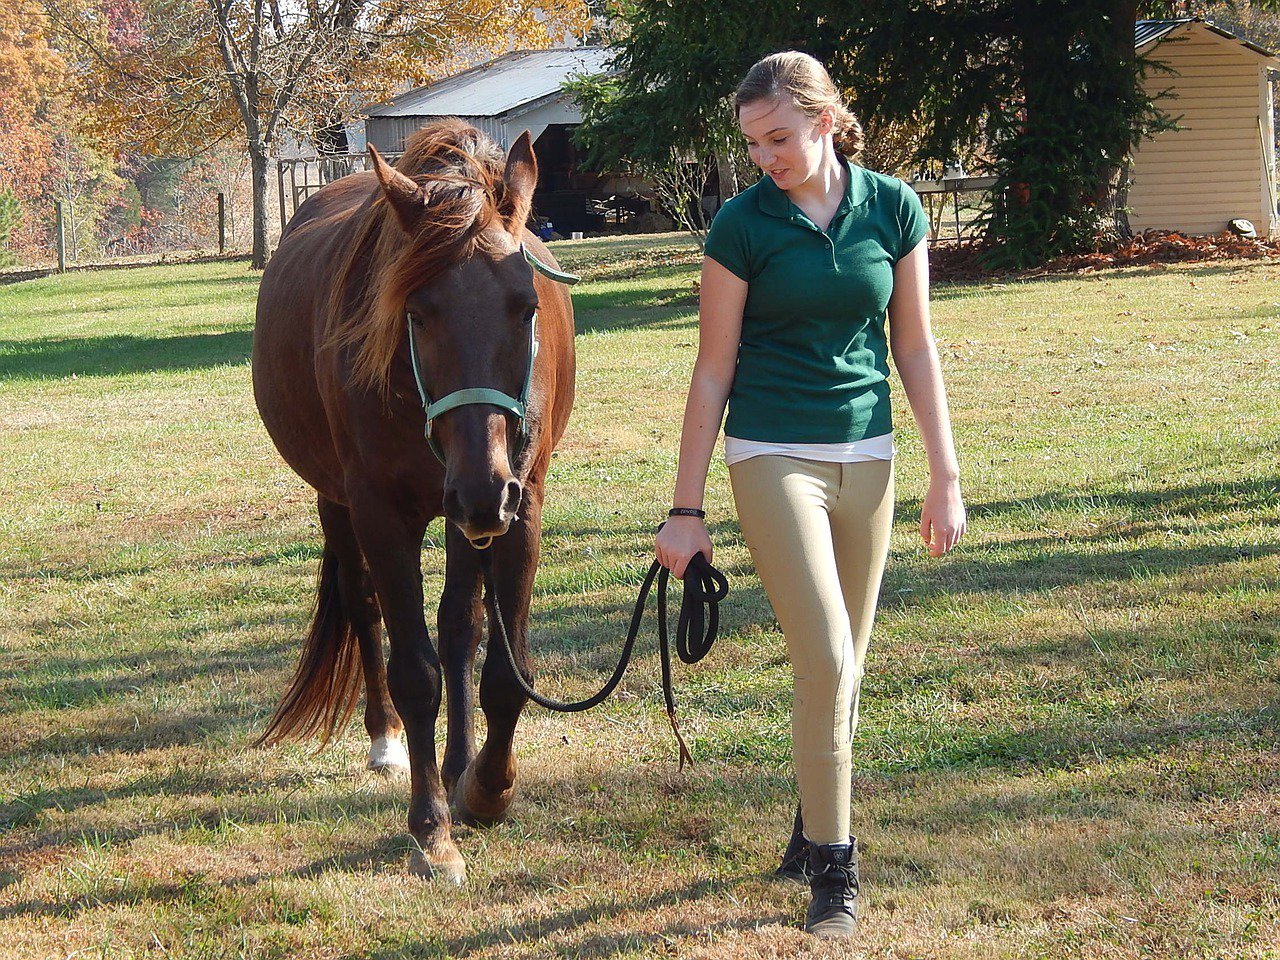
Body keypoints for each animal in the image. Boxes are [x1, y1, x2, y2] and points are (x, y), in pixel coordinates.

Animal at [251, 119, 576, 883]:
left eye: (526, 306)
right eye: (418, 312)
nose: (484, 487)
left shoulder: (518, 508)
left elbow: (501, 668)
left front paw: (486, 787)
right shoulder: (380, 513)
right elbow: (415, 673)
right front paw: (433, 832)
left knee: (460, 625)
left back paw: (458, 765)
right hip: (345, 506)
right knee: (365, 608)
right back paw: (386, 743)